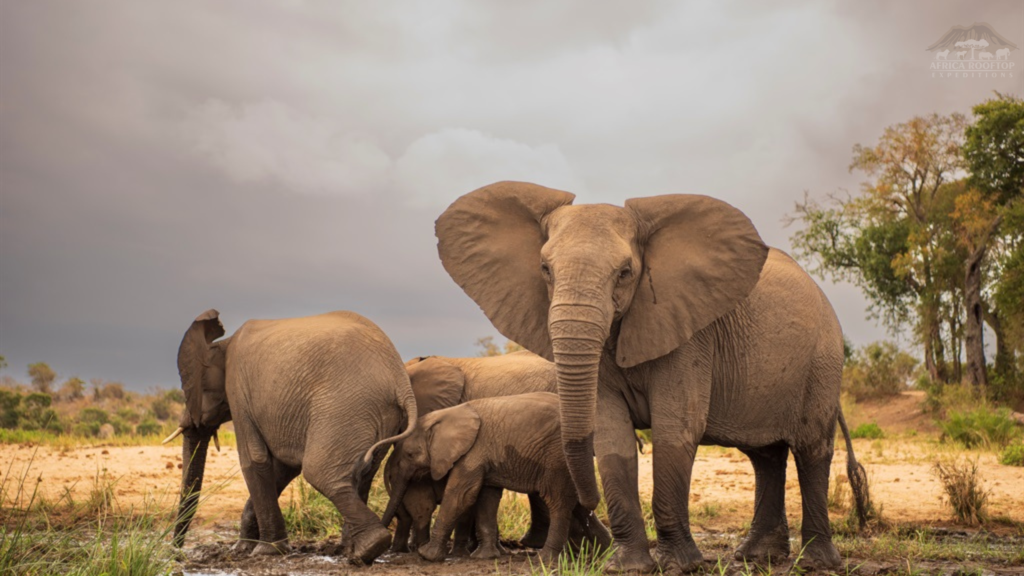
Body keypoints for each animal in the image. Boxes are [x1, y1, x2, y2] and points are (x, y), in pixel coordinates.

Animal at [165, 307, 413, 561]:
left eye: (189, 389)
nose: (176, 551)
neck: (223, 343)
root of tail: (401, 382)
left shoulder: (238, 391)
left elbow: (253, 460)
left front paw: (265, 550)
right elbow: (283, 467)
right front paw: (243, 549)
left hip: (344, 407)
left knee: (320, 472)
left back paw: (369, 548)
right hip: (377, 414)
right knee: (363, 473)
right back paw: (351, 551)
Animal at [432, 181, 864, 565]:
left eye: (626, 272)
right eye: (544, 268)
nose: (588, 506)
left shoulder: (690, 334)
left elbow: (676, 428)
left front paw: (679, 565)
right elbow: (612, 434)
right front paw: (628, 565)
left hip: (823, 359)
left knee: (811, 449)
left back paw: (815, 562)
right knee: (766, 456)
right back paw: (758, 557)